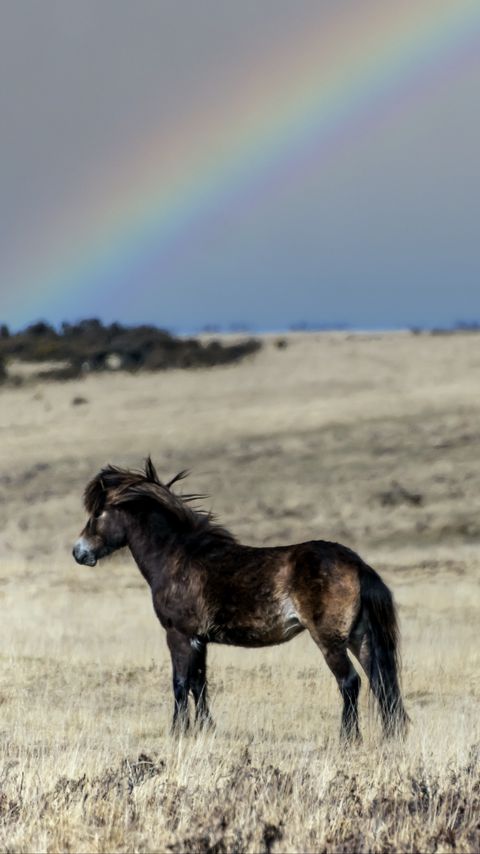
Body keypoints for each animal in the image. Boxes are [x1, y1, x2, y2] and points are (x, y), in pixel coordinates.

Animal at [72, 454, 408, 744]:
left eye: (98, 513)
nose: (79, 552)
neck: (178, 557)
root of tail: (357, 564)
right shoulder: (199, 639)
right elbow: (199, 683)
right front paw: (206, 729)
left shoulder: (178, 634)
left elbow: (180, 683)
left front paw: (177, 732)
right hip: (361, 637)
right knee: (381, 683)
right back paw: (391, 736)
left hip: (330, 640)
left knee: (350, 682)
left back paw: (348, 739)